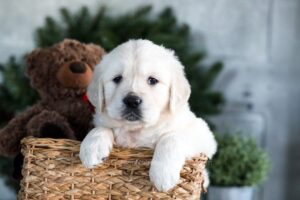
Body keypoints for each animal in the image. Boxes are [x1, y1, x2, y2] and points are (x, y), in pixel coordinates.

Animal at [78, 38, 217, 191]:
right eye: (117, 78)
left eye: (152, 80)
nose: (132, 101)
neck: (136, 130)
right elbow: (100, 128)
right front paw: (92, 149)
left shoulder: (202, 133)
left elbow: (171, 137)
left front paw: (163, 174)